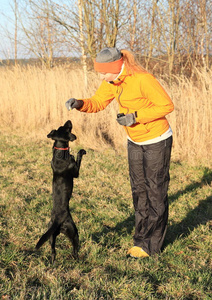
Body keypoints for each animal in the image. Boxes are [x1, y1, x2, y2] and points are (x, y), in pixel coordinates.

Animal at [35, 119, 86, 262]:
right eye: (67, 127)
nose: (68, 120)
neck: (60, 152)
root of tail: (58, 221)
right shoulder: (75, 171)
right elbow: (77, 158)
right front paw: (81, 151)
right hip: (74, 232)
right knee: (74, 250)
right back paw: (78, 259)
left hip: (51, 237)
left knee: (53, 252)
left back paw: (52, 262)